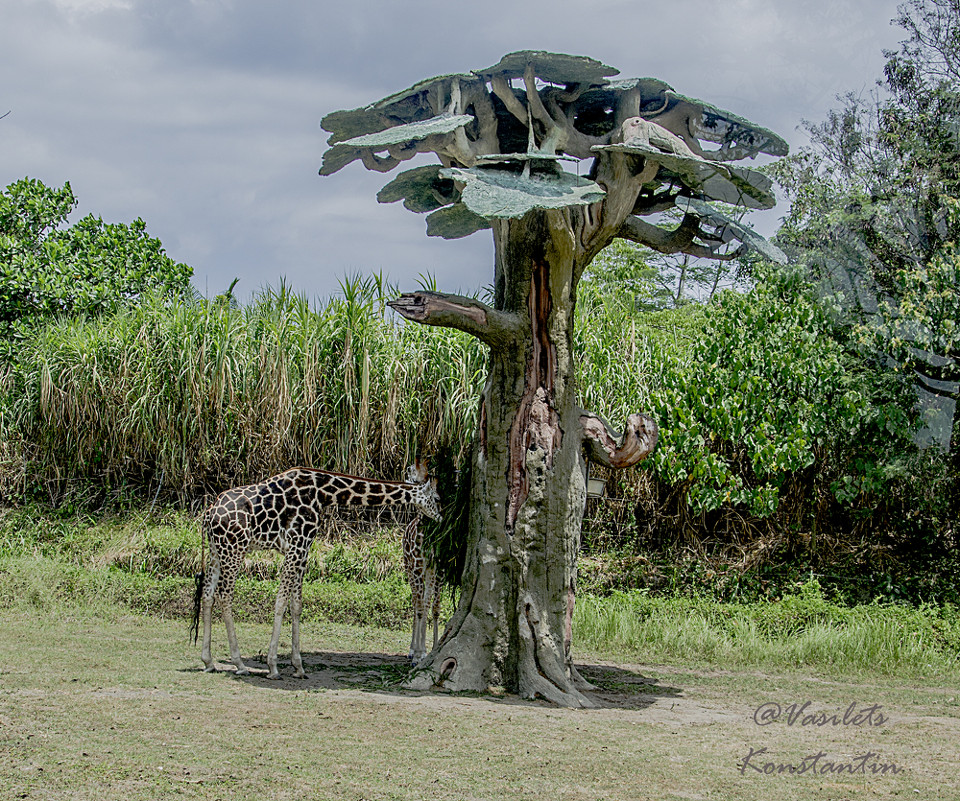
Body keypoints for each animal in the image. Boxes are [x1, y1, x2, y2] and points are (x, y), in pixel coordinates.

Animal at [195, 466, 442, 680]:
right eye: (438, 499)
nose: (439, 518)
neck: (323, 493)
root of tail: (207, 514)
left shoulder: (302, 548)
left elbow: (296, 605)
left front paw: (298, 666)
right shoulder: (298, 543)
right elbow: (280, 601)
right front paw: (273, 666)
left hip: (216, 550)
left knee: (207, 594)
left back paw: (208, 661)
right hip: (234, 549)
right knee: (224, 596)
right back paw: (239, 663)